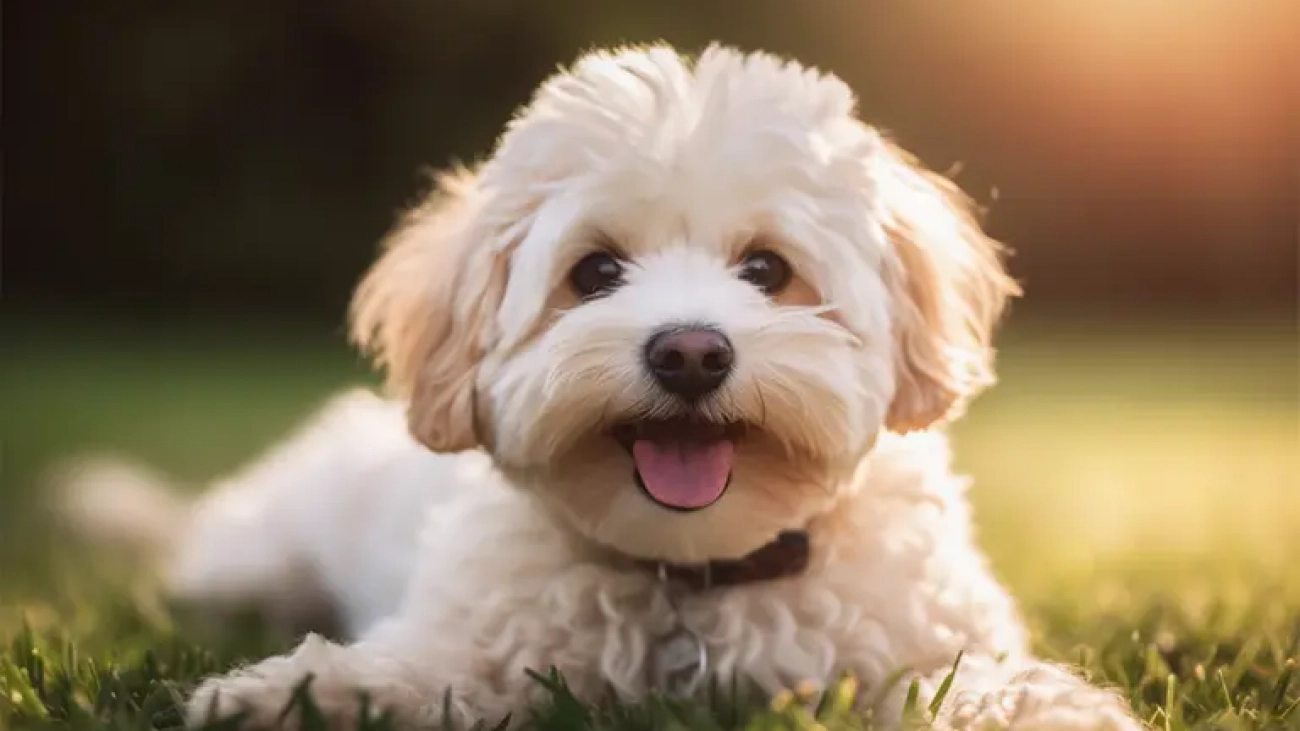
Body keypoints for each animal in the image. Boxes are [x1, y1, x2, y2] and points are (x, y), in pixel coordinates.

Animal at [61, 45, 1138, 728]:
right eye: (595, 272)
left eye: (767, 269)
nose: (691, 353)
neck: (693, 576)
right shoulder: (481, 641)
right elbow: (411, 671)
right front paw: (299, 696)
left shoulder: (908, 637)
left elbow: (965, 679)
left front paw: (1047, 709)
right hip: (255, 555)